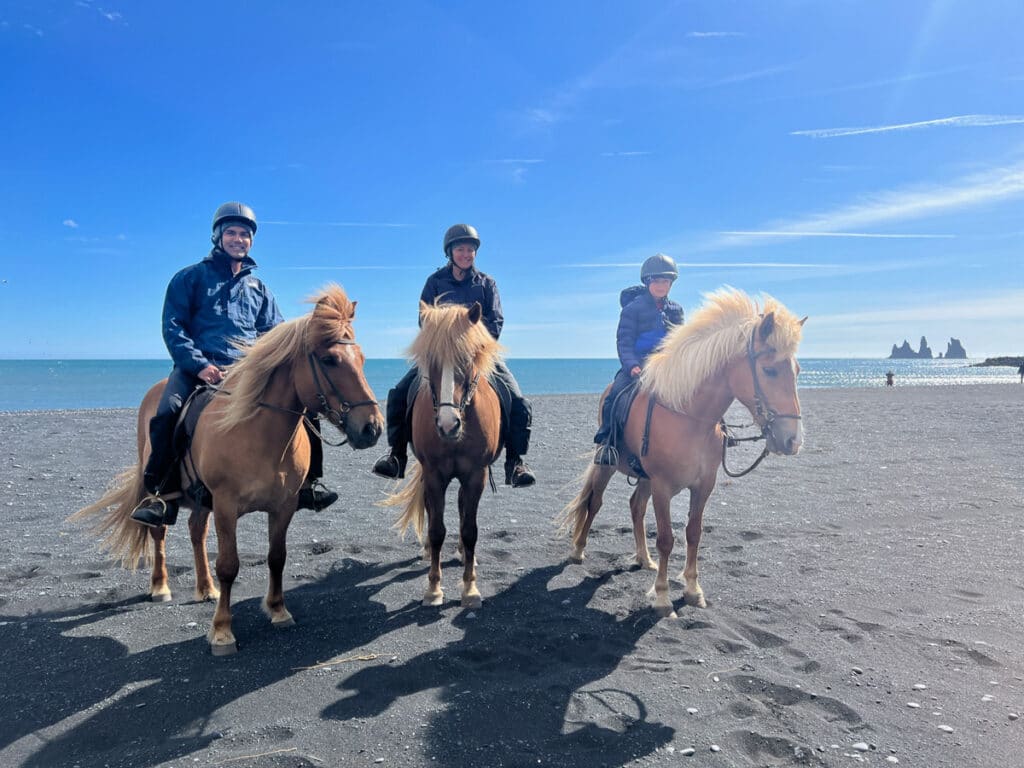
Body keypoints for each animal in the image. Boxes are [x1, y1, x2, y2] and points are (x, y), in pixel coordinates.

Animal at [71, 286, 385, 659]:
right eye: (329, 360)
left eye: (362, 358)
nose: (372, 428)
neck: (257, 433)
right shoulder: (225, 506)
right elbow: (228, 565)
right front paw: (222, 632)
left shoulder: (284, 506)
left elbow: (276, 557)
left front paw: (278, 610)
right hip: (165, 495)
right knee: (159, 532)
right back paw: (160, 587)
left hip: (201, 500)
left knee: (195, 532)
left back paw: (206, 588)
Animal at [380, 301, 503, 606]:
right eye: (430, 361)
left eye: (468, 359)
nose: (448, 425)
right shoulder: (434, 474)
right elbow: (436, 530)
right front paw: (433, 588)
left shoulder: (476, 475)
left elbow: (470, 530)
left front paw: (470, 588)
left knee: (461, 509)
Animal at [565, 288, 802, 618]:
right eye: (769, 370)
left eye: (797, 371)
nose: (793, 440)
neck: (691, 419)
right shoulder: (663, 487)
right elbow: (666, 538)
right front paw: (663, 597)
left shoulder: (703, 486)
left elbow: (694, 533)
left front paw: (692, 589)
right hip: (608, 465)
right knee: (594, 502)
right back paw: (578, 550)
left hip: (645, 478)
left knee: (636, 506)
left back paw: (643, 558)